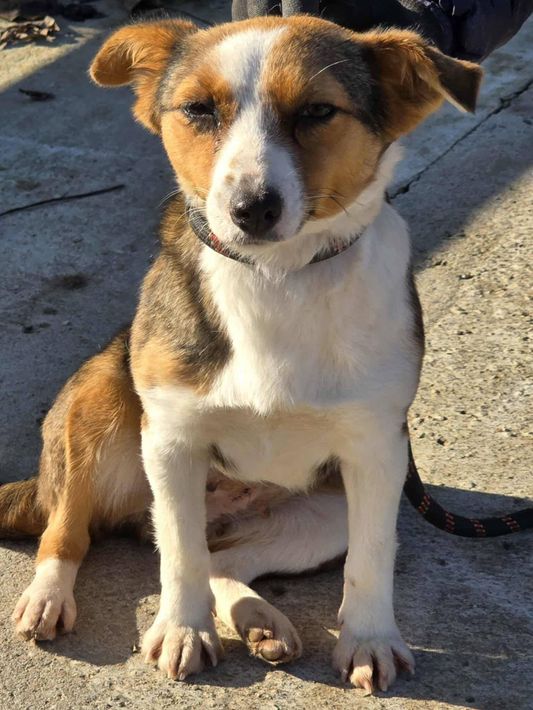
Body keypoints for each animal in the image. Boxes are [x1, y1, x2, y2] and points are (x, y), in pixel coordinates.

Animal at [0, 16, 481, 693]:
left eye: (317, 111)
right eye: (199, 109)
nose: (252, 209)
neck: (275, 277)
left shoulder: (377, 452)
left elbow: (370, 558)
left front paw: (369, 638)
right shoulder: (171, 438)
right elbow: (179, 553)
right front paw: (183, 629)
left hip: (323, 514)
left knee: (224, 560)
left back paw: (260, 620)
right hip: (96, 405)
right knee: (70, 529)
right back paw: (48, 596)